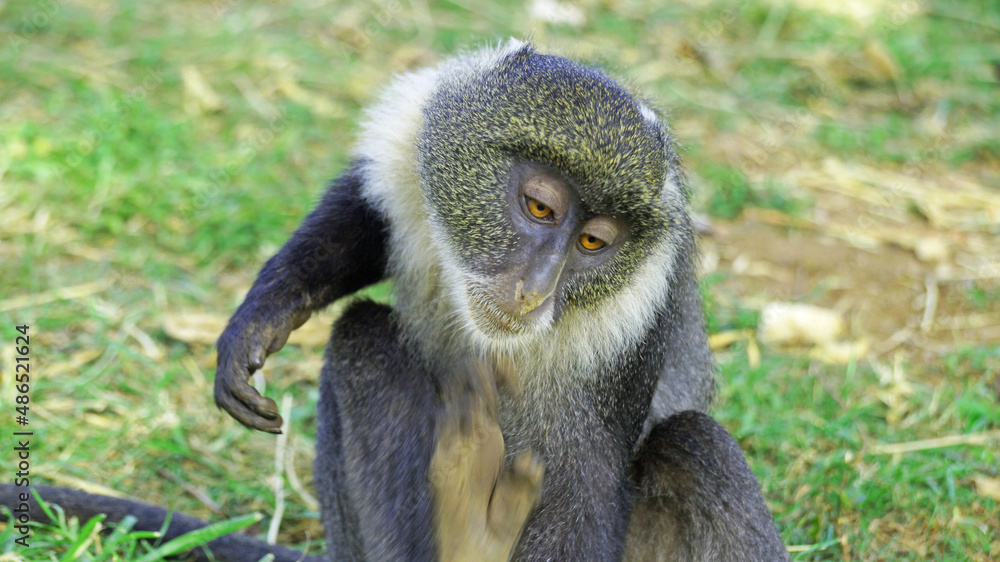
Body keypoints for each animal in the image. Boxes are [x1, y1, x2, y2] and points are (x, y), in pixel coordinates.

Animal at [213, 40, 789, 561]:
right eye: (540, 208)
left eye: (592, 242)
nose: (536, 287)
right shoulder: (411, 140)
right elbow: (364, 216)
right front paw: (263, 317)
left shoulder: (628, 336)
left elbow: (589, 491)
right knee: (362, 334)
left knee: (697, 445)